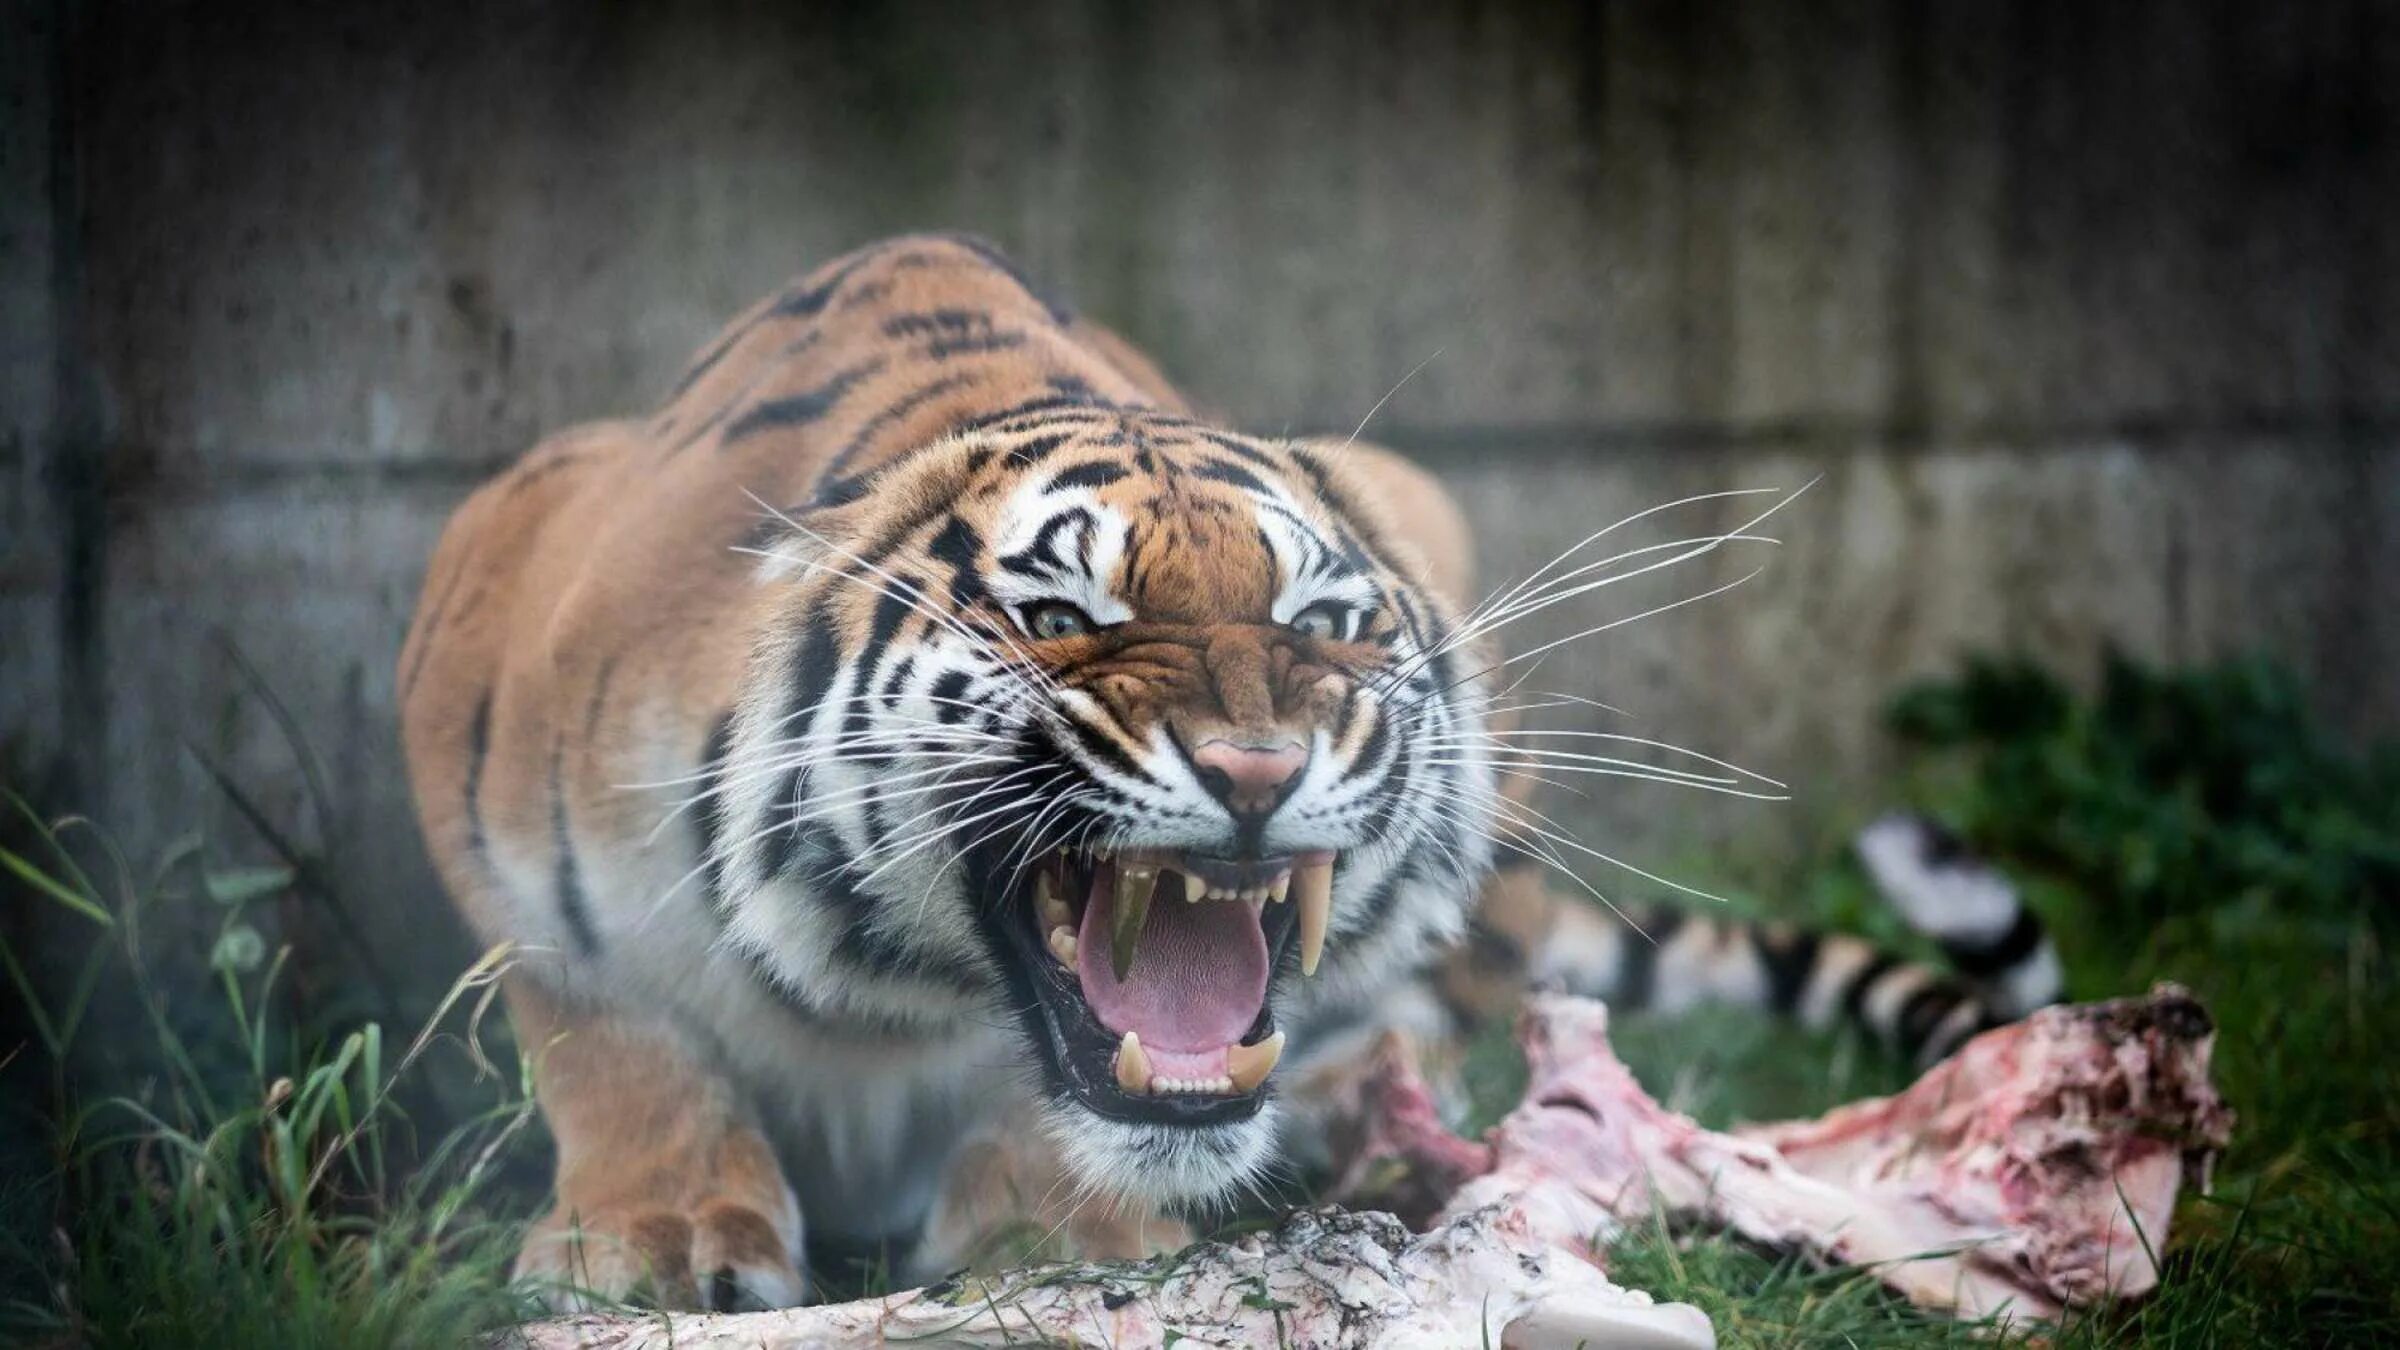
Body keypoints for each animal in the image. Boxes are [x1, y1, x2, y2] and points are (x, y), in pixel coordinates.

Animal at [396, 233, 2060, 1310]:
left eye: (1321, 623)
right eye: (1064, 618)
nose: (1258, 766)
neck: (874, 1006)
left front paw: (1067, 1234)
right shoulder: (496, 620)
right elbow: (611, 1027)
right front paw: (656, 1241)